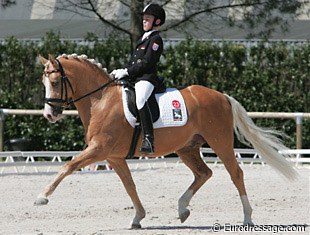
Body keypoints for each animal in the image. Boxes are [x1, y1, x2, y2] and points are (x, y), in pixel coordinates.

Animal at [35, 54, 296, 229]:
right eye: (43, 83)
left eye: (55, 82)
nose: (49, 115)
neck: (101, 100)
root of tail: (222, 96)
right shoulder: (114, 157)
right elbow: (130, 185)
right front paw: (138, 218)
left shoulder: (99, 149)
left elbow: (68, 166)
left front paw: (42, 197)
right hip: (187, 148)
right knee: (204, 173)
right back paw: (182, 209)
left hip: (220, 141)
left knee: (236, 174)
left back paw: (247, 217)